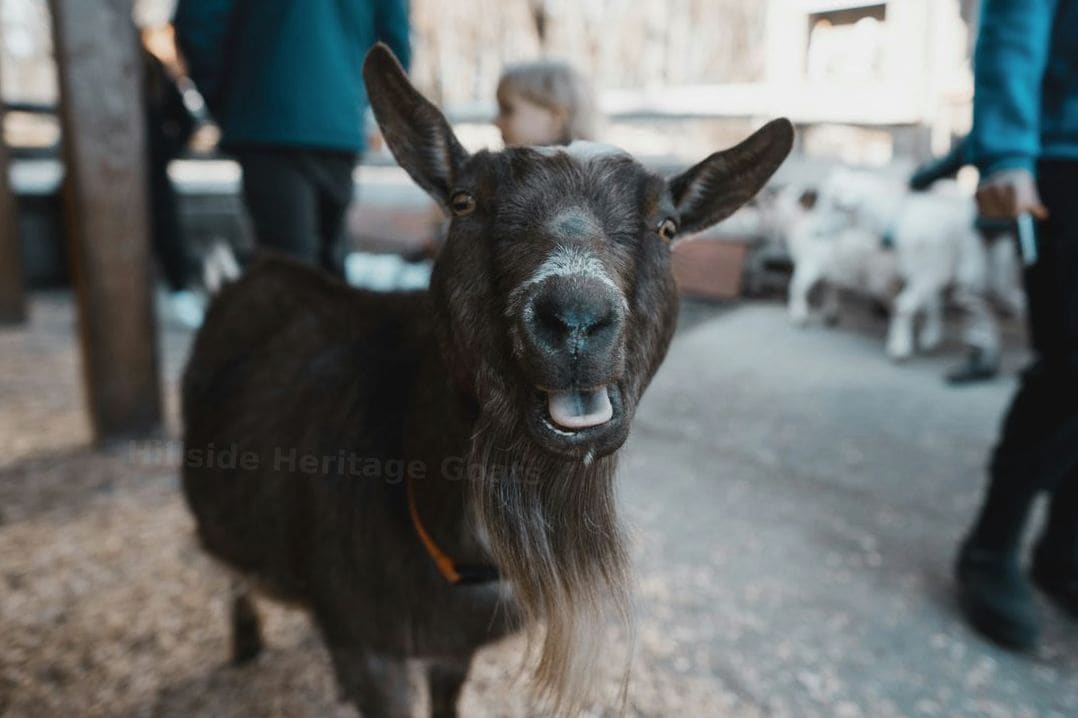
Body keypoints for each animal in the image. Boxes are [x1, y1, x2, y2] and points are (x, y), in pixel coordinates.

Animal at [181, 45, 793, 717]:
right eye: (463, 202)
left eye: (668, 226)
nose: (575, 317)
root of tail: (238, 276)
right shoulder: (367, 642)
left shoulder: (453, 648)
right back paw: (244, 648)